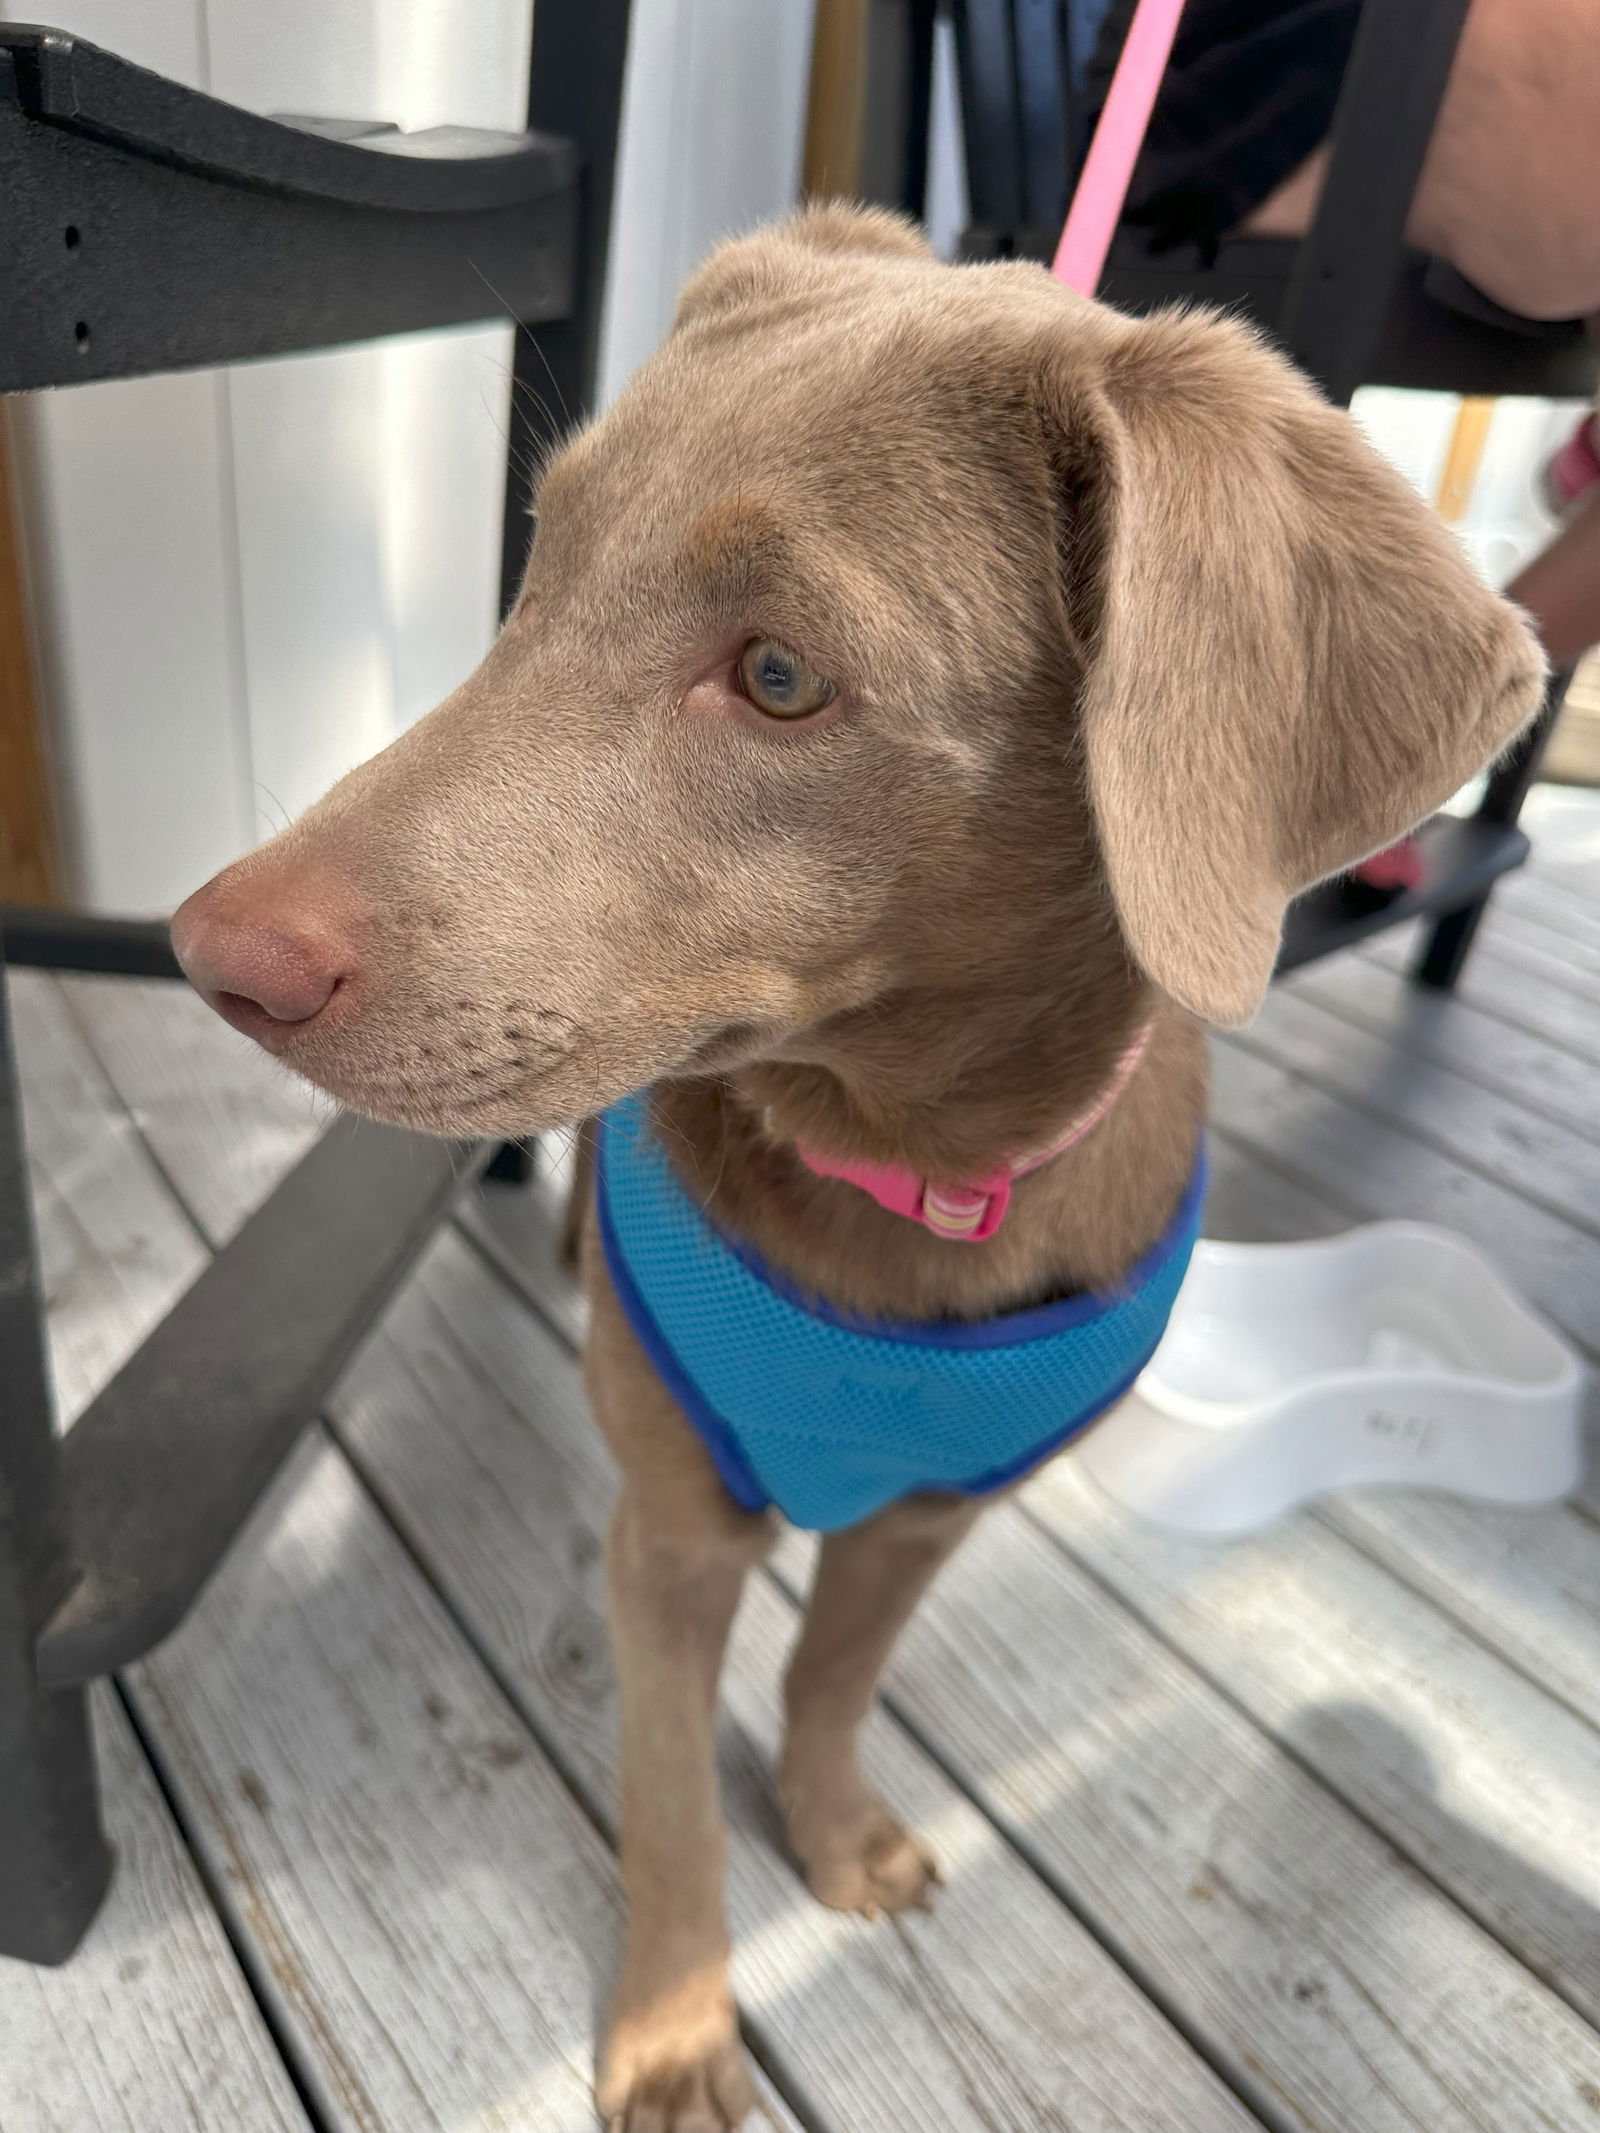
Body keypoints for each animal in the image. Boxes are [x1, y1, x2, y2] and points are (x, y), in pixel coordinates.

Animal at [169, 203, 1544, 2133]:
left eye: (779, 677)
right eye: (541, 565)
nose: (209, 955)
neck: (903, 1188)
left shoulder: (927, 1511)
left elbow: (831, 1677)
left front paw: (829, 1836)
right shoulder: (670, 1531)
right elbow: (671, 1795)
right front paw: (677, 2026)